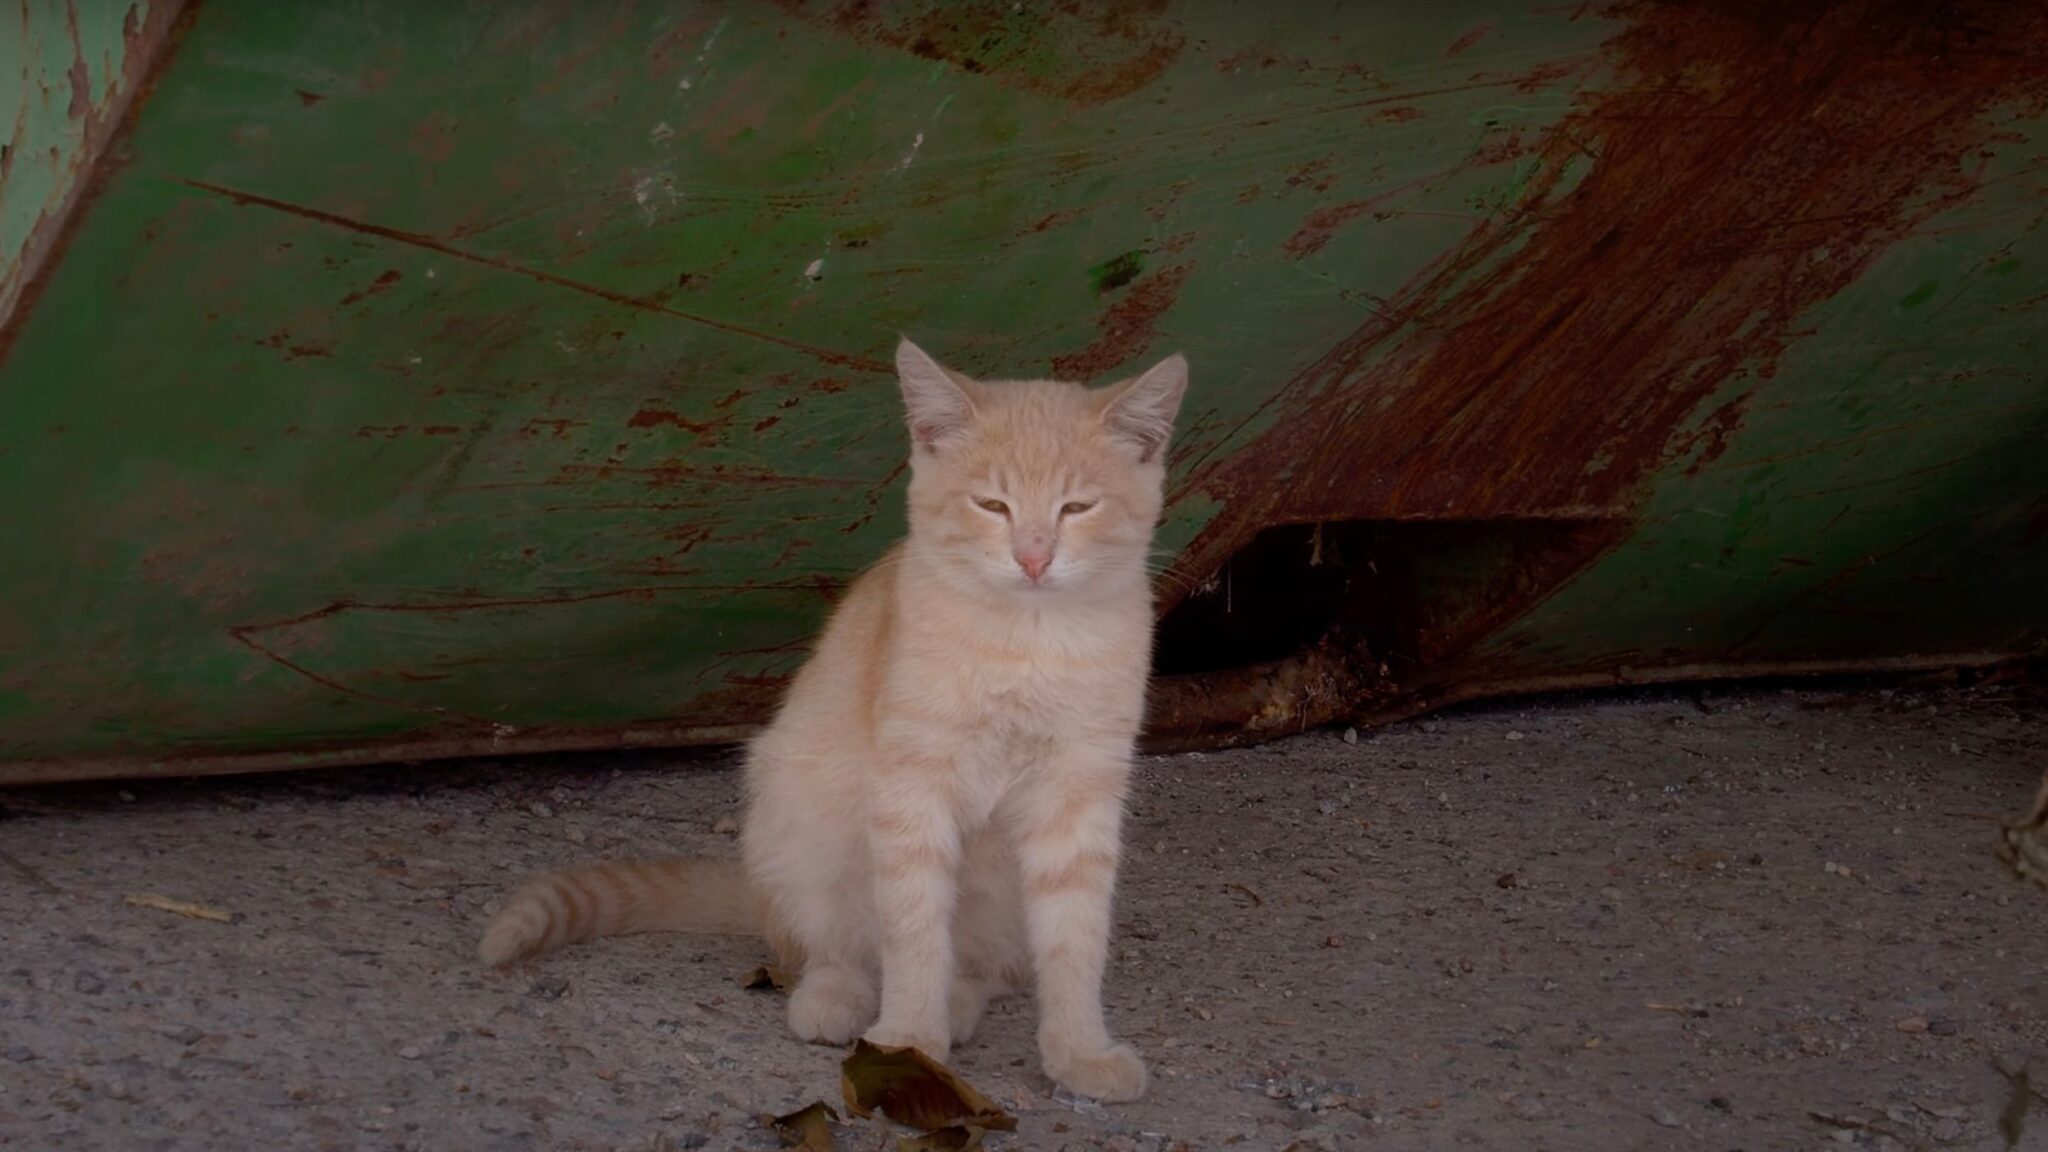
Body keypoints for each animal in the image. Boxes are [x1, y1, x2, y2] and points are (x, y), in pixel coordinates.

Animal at [477, 336, 1187, 1098]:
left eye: (1077, 506)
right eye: (992, 504)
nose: (1033, 558)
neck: (1026, 645)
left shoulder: (1079, 796)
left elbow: (1074, 940)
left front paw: (1079, 1052)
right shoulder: (912, 791)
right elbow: (911, 930)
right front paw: (909, 1043)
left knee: (984, 966)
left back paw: (959, 1001)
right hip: (797, 825)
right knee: (834, 949)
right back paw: (837, 998)